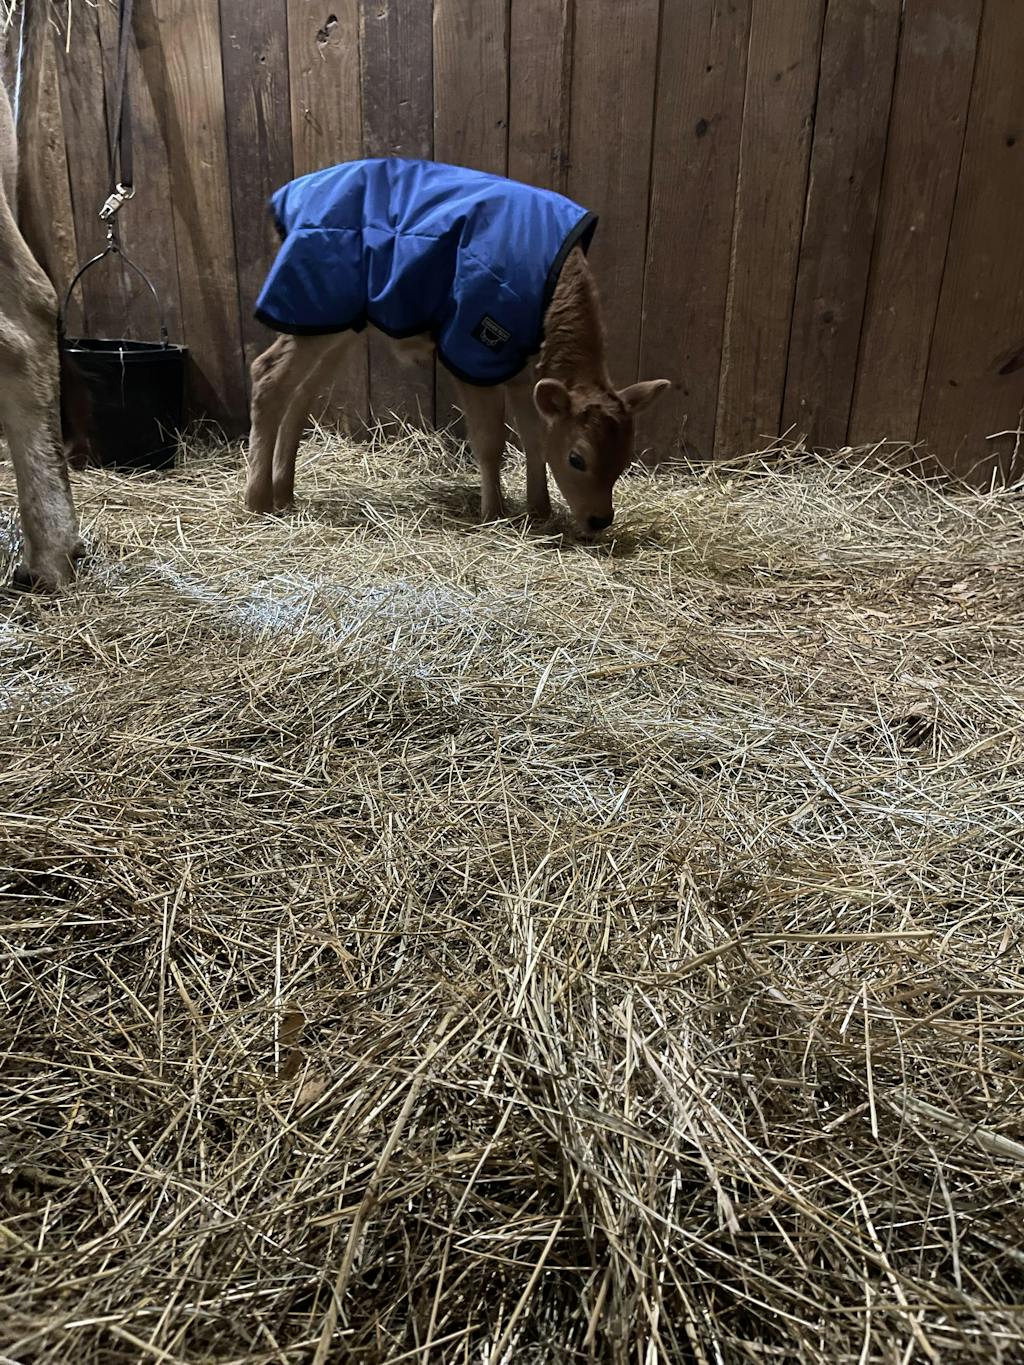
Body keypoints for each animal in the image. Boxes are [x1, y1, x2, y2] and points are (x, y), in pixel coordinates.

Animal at [246, 158, 671, 536]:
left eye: (625, 459)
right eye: (577, 459)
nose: (600, 521)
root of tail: (289, 195)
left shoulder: (522, 367)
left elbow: (533, 437)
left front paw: (539, 510)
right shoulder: (472, 347)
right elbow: (490, 440)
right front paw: (494, 515)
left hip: (336, 320)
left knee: (301, 393)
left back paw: (285, 494)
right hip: (312, 302)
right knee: (267, 375)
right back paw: (258, 501)